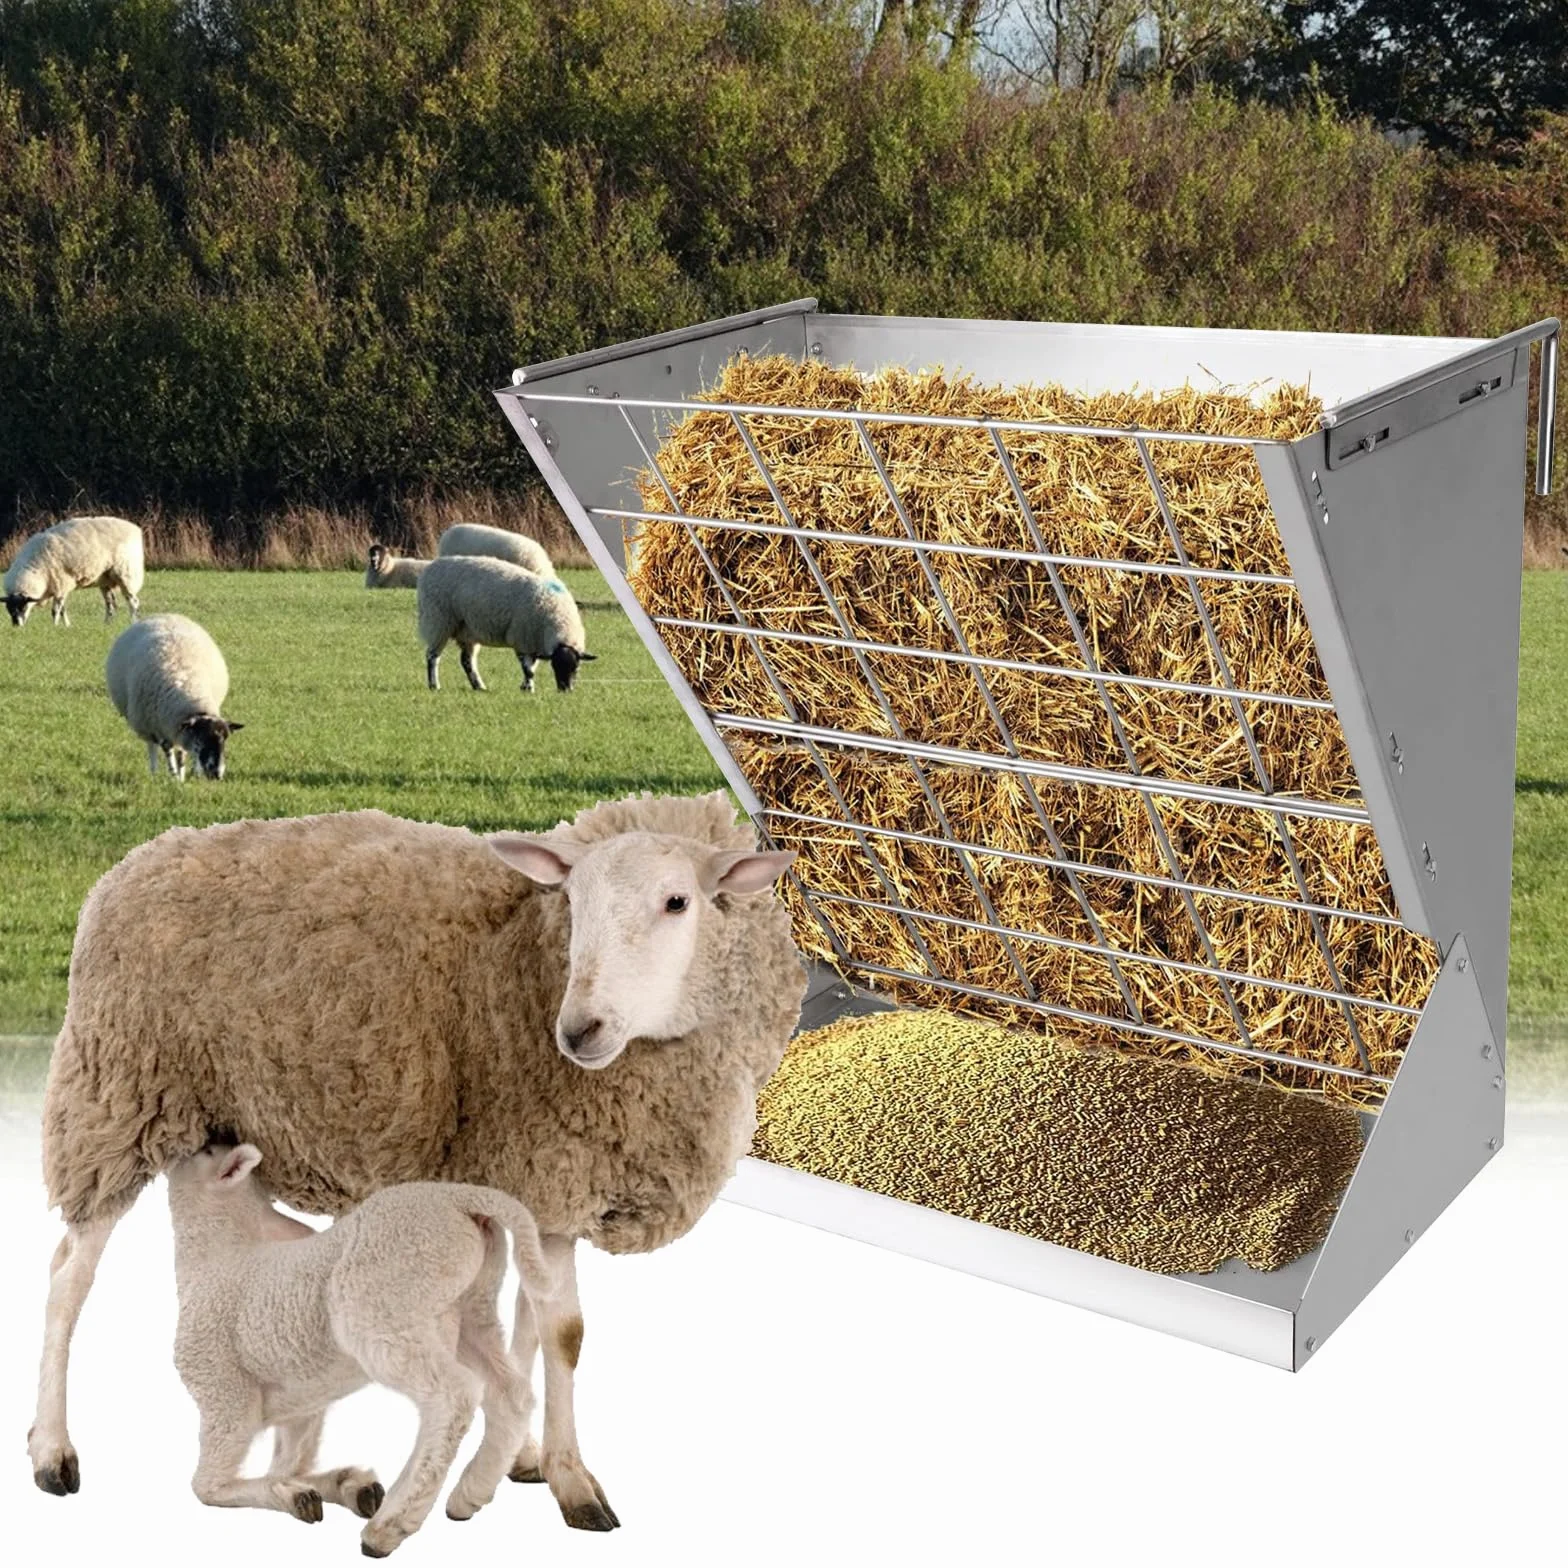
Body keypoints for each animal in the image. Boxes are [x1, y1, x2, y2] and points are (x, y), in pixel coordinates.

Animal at [4, 515, 144, 627]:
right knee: (110, 604)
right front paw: (66, 626)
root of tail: (134, 529)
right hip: (105, 579)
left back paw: (133, 622)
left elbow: (55, 610)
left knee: (133, 601)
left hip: (126, 573)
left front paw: (54, 626)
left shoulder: (61, 584)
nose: (16, 626)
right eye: (8, 609)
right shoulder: (60, 587)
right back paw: (107, 624)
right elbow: (62, 609)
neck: (34, 569)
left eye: (23, 606)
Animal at [105, 614, 244, 780]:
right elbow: (168, 750)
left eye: (224, 740)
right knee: (152, 747)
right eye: (201, 738)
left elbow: (182, 754)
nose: (217, 774)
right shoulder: (160, 727)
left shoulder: (180, 728)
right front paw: (174, 777)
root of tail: (162, 615)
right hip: (146, 724)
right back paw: (154, 772)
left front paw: (184, 775)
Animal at [167, 1141, 582, 1555]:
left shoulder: (224, 1393)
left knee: (453, 1397)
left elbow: (207, 1486)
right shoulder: (301, 1403)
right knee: (510, 1394)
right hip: (469, 1308)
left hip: (384, 1307)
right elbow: (290, 1464)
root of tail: (459, 1197)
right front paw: (337, 1485)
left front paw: (291, 1495)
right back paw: (469, 1493)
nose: (214, 1138)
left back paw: (391, 1524)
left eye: (205, 1151)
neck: (218, 1260)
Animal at [416, 554, 596, 692]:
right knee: (432, 656)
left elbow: (532, 666)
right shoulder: (522, 639)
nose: (565, 690)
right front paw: (528, 688)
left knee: (467, 661)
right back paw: (434, 685)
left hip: (467, 630)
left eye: (576, 667)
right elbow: (528, 669)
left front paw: (525, 687)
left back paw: (479, 686)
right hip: (438, 622)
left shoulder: (533, 642)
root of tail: (430, 568)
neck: (558, 620)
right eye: (555, 666)